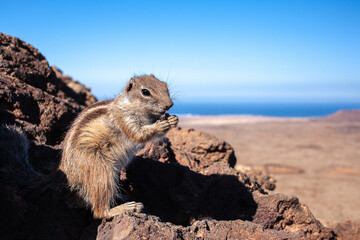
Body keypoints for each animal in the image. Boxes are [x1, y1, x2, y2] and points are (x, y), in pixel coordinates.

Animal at [0, 74, 179, 219]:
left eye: (164, 85)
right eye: (145, 92)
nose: (169, 105)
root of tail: (63, 172)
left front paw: (172, 119)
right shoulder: (124, 120)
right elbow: (139, 134)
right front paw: (161, 124)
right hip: (100, 170)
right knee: (98, 212)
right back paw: (125, 207)